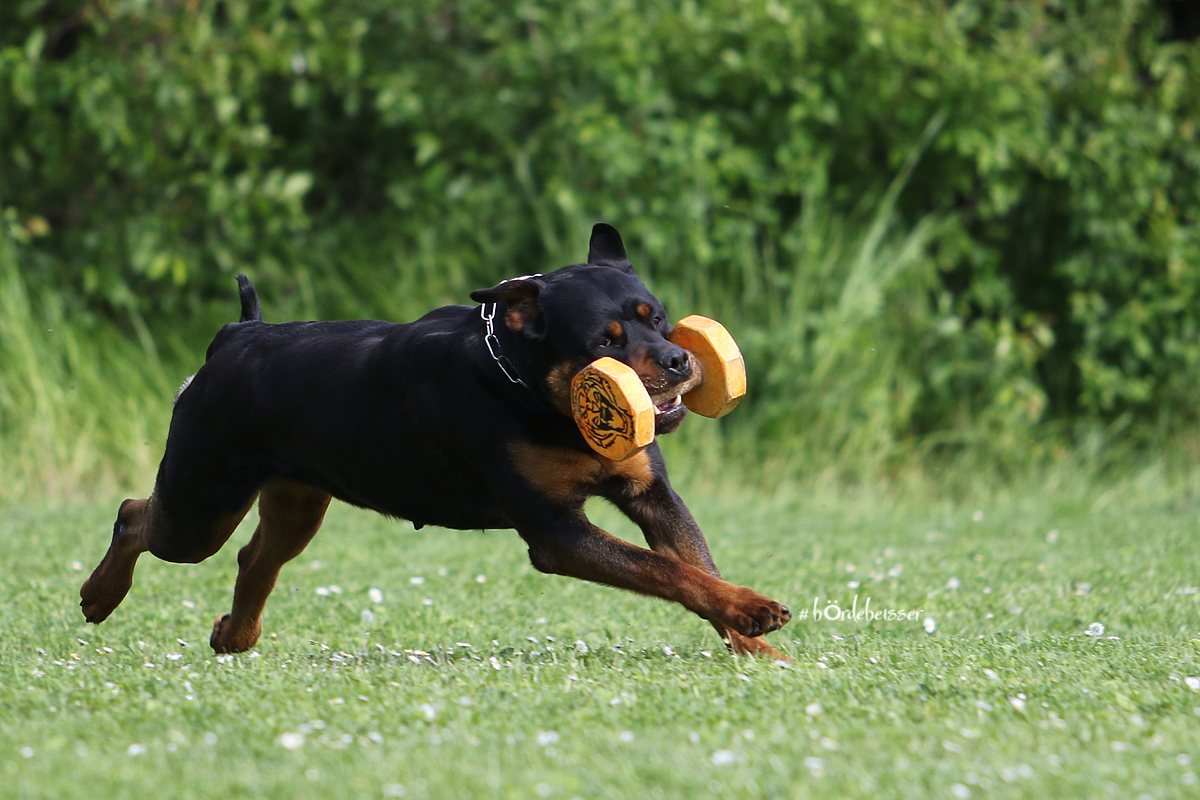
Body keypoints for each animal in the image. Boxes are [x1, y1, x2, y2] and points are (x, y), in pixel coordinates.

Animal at [80, 223, 791, 658]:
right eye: (604, 342)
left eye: (659, 319)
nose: (677, 359)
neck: (533, 396)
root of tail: (234, 336)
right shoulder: (556, 532)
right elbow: (668, 570)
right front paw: (753, 613)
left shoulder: (651, 495)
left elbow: (695, 565)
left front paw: (755, 641)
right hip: (203, 500)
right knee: (136, 517)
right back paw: (98, 596)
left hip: (296, 501)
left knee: (257, 557)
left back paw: (234, 634)